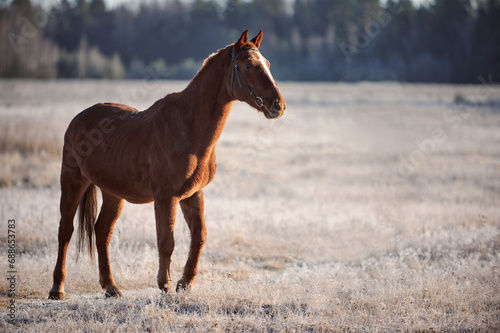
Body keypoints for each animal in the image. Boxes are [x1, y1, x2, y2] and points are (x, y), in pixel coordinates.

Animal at [49, 30, 288, 298]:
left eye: (266, 64)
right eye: (248, 65)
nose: (278, 105)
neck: (189, 128)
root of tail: (79, 118)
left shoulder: (192, 193)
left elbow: (199, 236)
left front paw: (185, 282)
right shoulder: (166, 196)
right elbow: (166, 240)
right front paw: (165, 285)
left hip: (113, 193)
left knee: (102, 232)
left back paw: (111, 287)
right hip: (72, 180)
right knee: (65, 231)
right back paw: (57, 288)